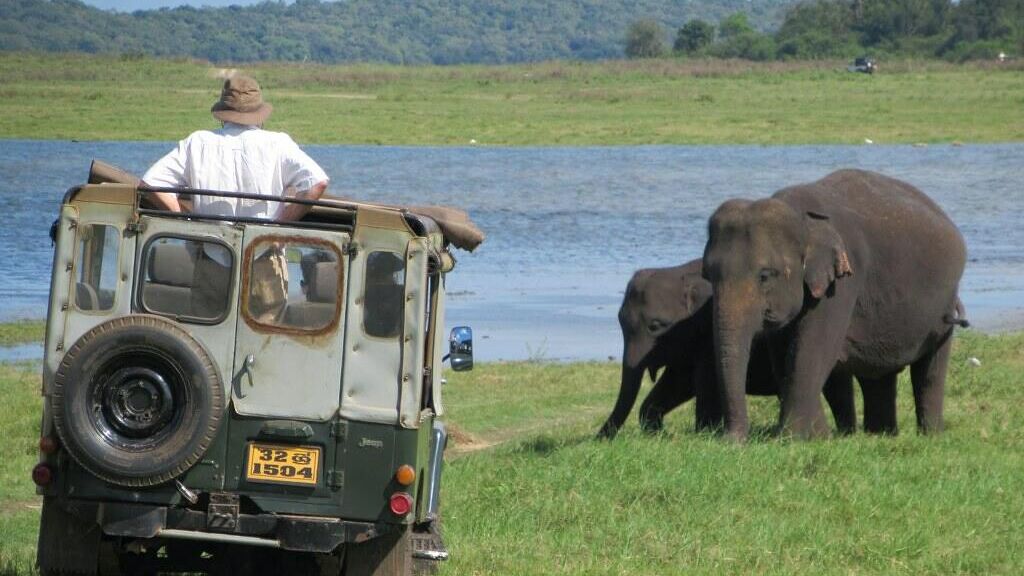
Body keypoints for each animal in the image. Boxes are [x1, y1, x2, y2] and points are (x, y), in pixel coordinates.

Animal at [598, 258, 860, 436]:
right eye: (619, 320)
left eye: (655, 326)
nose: (600, 438)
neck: (680, 273)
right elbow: (676, 384)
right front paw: (657, 431)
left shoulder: (709, 335)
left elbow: (704, 383)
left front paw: (704, 432)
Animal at [700, 168, 962, 436]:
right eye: (708, 275)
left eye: (765, 276)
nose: (730, 439)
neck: (801, 217)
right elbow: (784, 355)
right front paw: (818, 436)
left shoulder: (843, 283)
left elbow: (812, 349)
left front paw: (792, 437)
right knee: (878, 375)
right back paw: (880, 433)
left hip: (945, 305)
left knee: (930, 370)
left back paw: (930, 434)